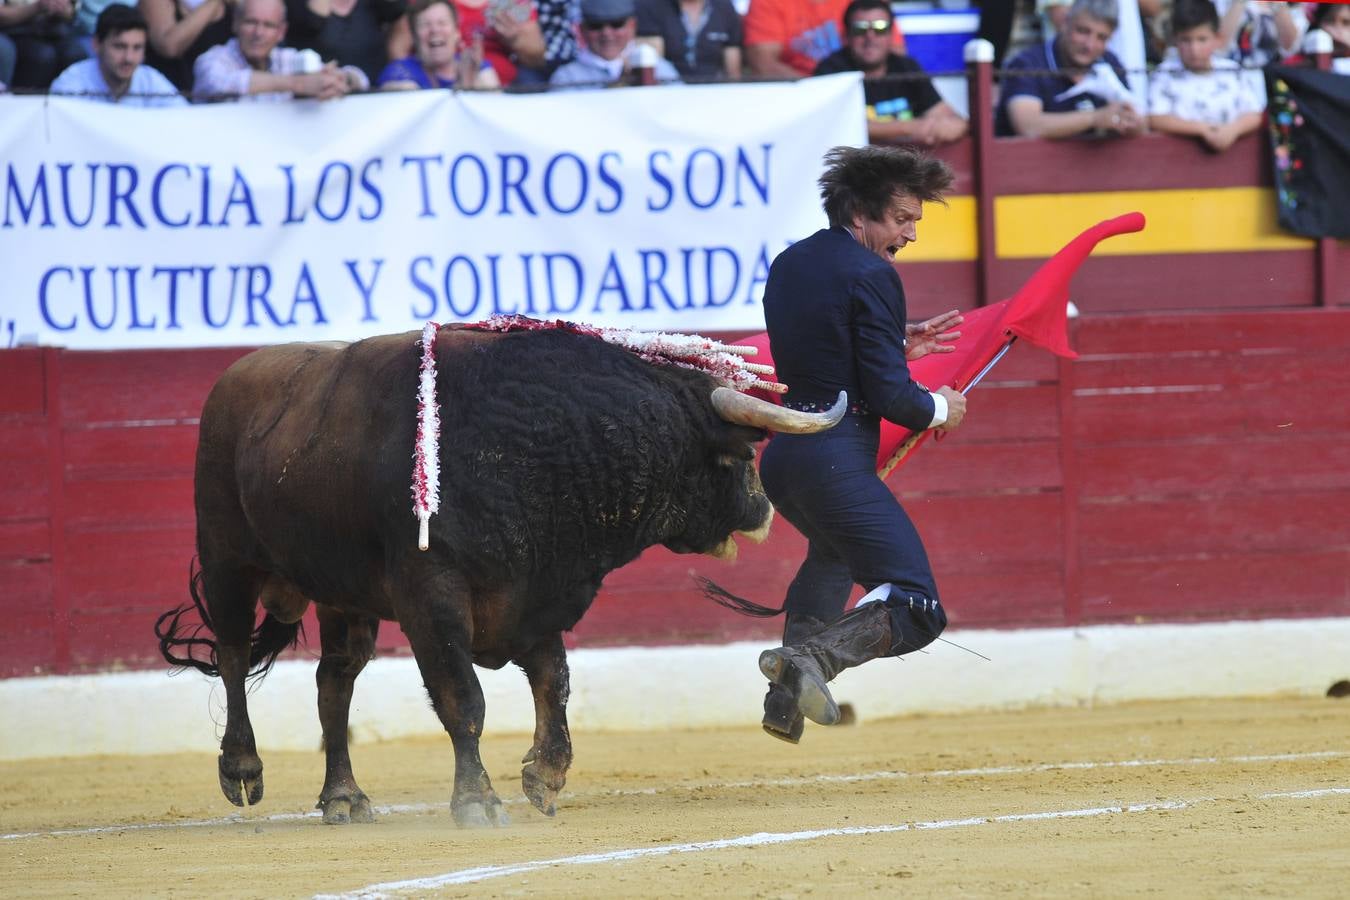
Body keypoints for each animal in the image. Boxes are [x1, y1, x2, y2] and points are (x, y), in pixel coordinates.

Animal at [153, 327, 837, 825]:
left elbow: (554, 682)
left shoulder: (537, 589)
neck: (536, 443)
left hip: (343, 597)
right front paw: (478, 801)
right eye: (741, 454)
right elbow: (465, 699)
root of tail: (235, 378)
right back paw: (243, 770)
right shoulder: (432, 598)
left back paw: (344, 798)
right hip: (227, 561)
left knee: (334, 682)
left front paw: (545, 776)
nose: (765, 511)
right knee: (233, 657)